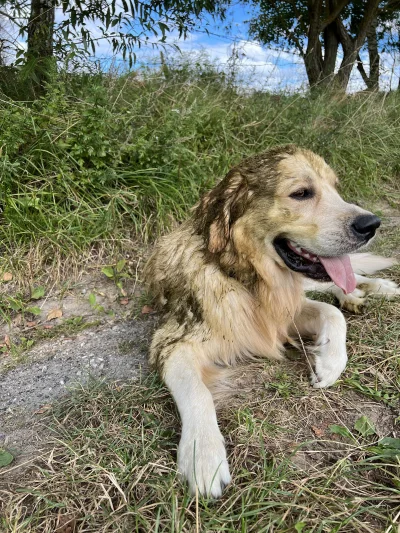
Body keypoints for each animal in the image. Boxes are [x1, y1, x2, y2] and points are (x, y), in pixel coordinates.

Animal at [145, 143, 400, 496]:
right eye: (301, 193)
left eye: (336, 188)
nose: (372, 224)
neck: (245, 278)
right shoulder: (172, 342)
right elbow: (197, 393)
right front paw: (203, 455)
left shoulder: (281, 313)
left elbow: (332, 313)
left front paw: (329, 362)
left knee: (342, 281)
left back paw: (378, 288)